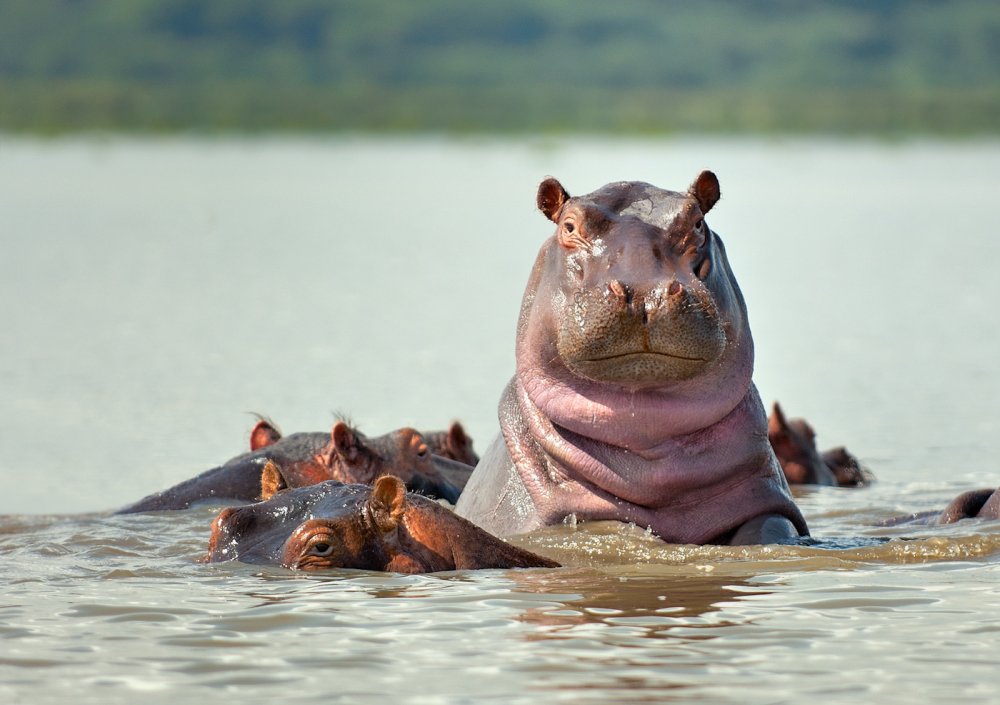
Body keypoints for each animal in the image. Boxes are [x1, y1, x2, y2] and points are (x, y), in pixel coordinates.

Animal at [458, 172, 808, 544]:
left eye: (698, 222)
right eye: (569, 226)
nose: (644, 292)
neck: (648, 442)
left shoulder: (769, 500)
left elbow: (770, 528)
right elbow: (616, 526)